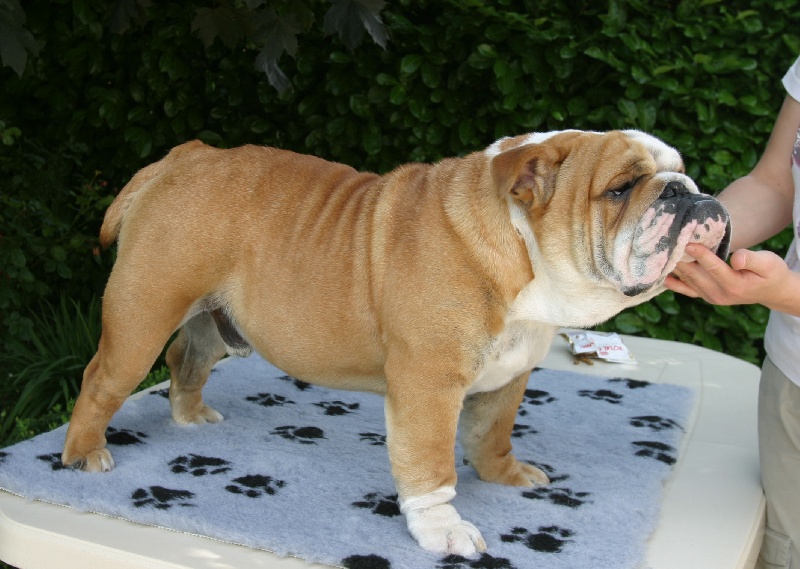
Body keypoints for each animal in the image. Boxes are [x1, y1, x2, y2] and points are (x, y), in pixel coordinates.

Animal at [62, 130, 730, 556]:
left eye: (684, 171)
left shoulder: (510, 376)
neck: (520, 256)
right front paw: (442, 532)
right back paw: (83, 455)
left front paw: (505, 475)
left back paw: (192, 416)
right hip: (144, 313)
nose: (688, 191)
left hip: (212, 319)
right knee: (102, 380)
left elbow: (492, 432)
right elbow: (431, 467)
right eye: (621, 188)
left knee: (187, 357)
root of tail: (180, 158)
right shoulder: (430, 386)